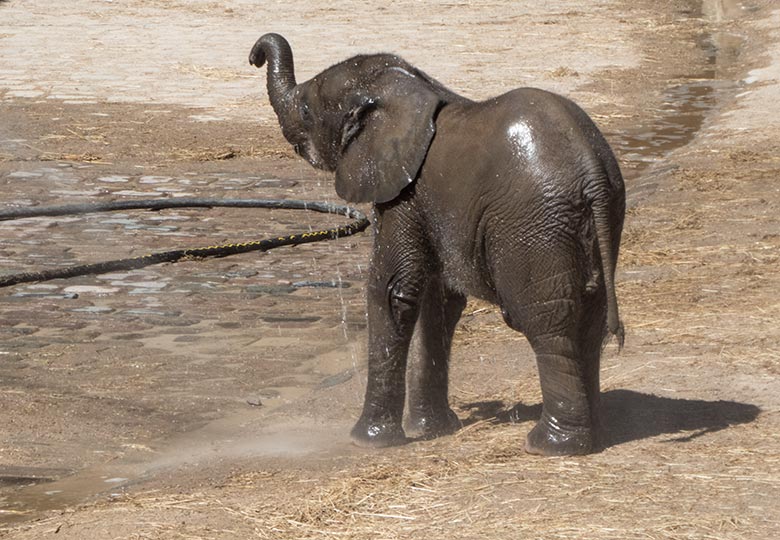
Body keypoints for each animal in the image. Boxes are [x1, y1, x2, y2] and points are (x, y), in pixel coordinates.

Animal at [251, 33, 628, 456]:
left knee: (547, 322)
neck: (411, 87)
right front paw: (433, 429)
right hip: (597, 217)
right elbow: (440, 301)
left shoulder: (402, 194)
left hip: (535, 225)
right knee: (590, 319)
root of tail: (591, 172)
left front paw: (369, 440)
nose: (253, 56)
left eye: (304, 108)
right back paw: (596, 436)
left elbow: (391, 291)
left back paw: (551, 445)